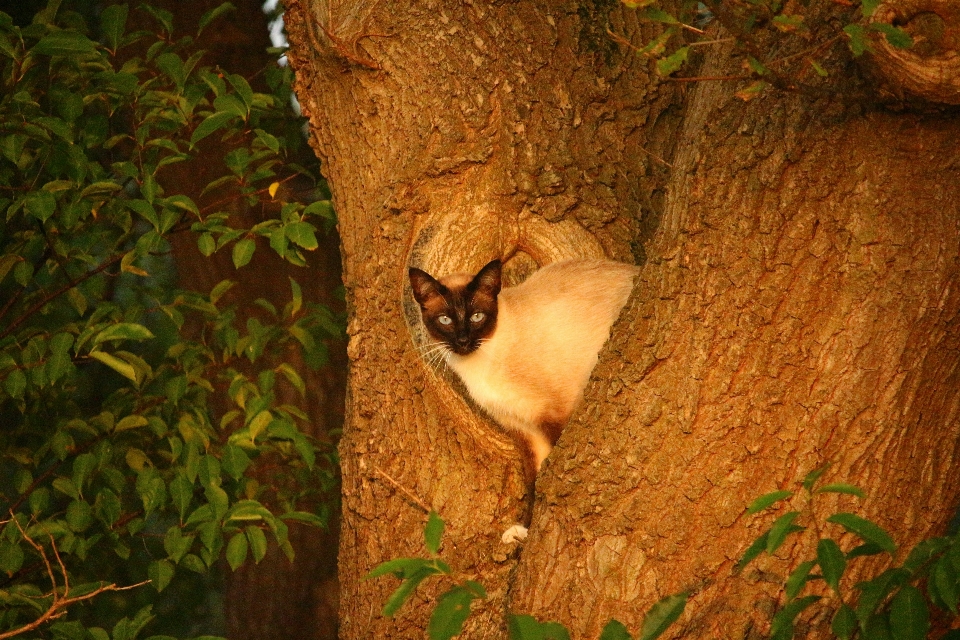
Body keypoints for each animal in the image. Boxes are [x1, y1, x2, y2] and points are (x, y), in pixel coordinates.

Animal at [406, 256, 636, 484]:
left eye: (477, 317)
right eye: (445, 320)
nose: (463, 341)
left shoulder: (554, 413)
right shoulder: (521, 428)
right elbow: (533, 477)